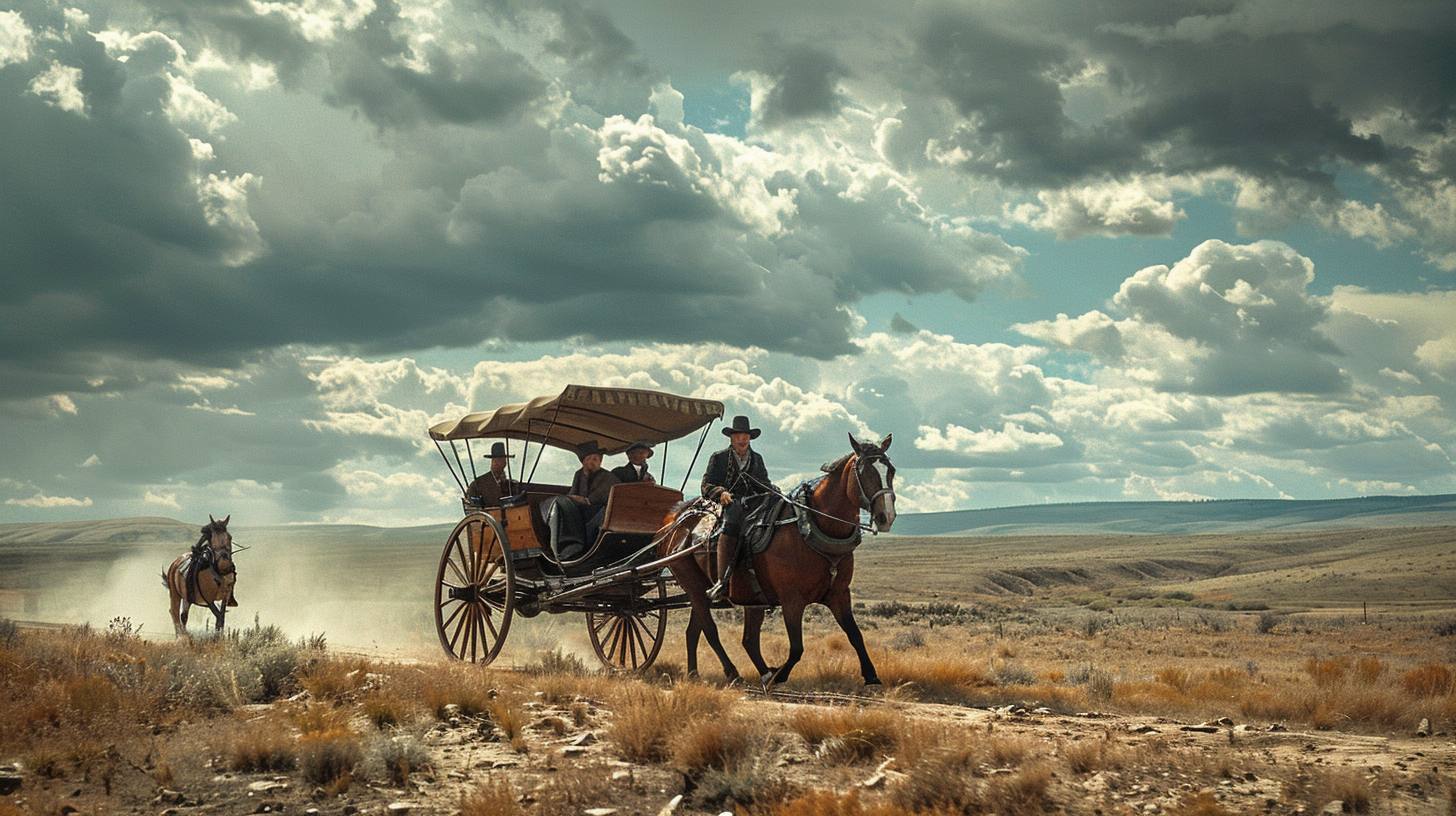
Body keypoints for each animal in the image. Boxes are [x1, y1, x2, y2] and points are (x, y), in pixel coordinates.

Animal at [658, 434, 885, 687]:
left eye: (891, 470)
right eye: (865, 472)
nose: (885, 516)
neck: (809, 527)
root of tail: (675, 522)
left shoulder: (839, 594)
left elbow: (855, 635)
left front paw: (872, 676)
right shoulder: (791, 599)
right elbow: (796, 648)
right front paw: (779, 674)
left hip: (729, 593)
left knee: (716, 635)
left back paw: (698, 674)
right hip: (694, 586)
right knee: (711, 630)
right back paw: (734, 673)